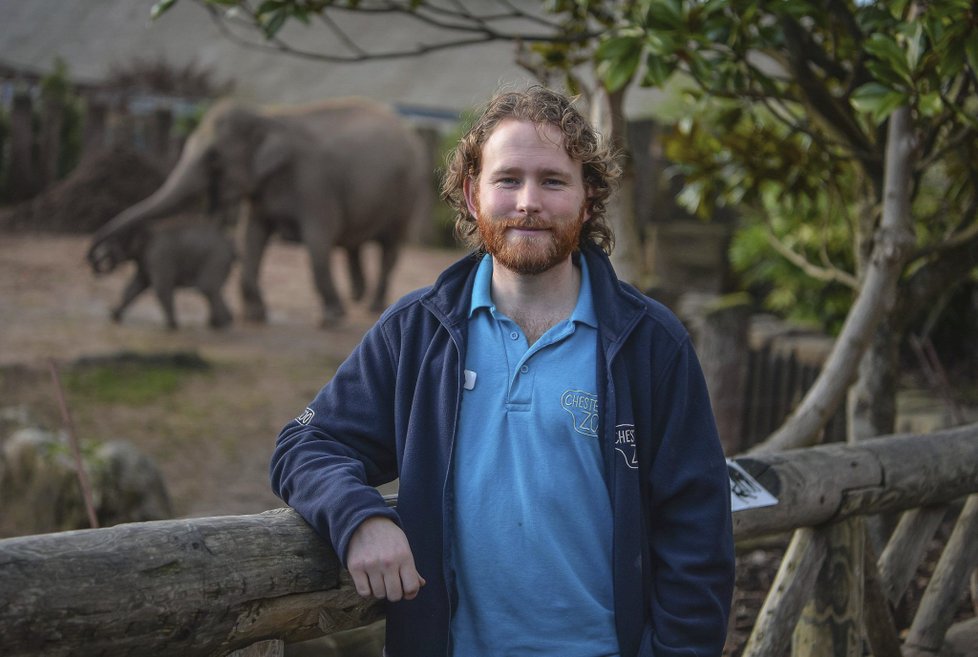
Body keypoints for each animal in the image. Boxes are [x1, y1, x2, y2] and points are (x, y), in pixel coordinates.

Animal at [87, 215, 236, 328]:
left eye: (117, 240)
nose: (99, 264)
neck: (149, 228)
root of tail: (232, 248)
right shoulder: (145, 261)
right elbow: (135, 286)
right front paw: (114, 315)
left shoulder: (158, 256)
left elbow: (160, 287)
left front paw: (172, 325)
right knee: (212, 290)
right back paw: (221, 322)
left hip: (215, 260)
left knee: (206, 288)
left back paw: (220, 325)